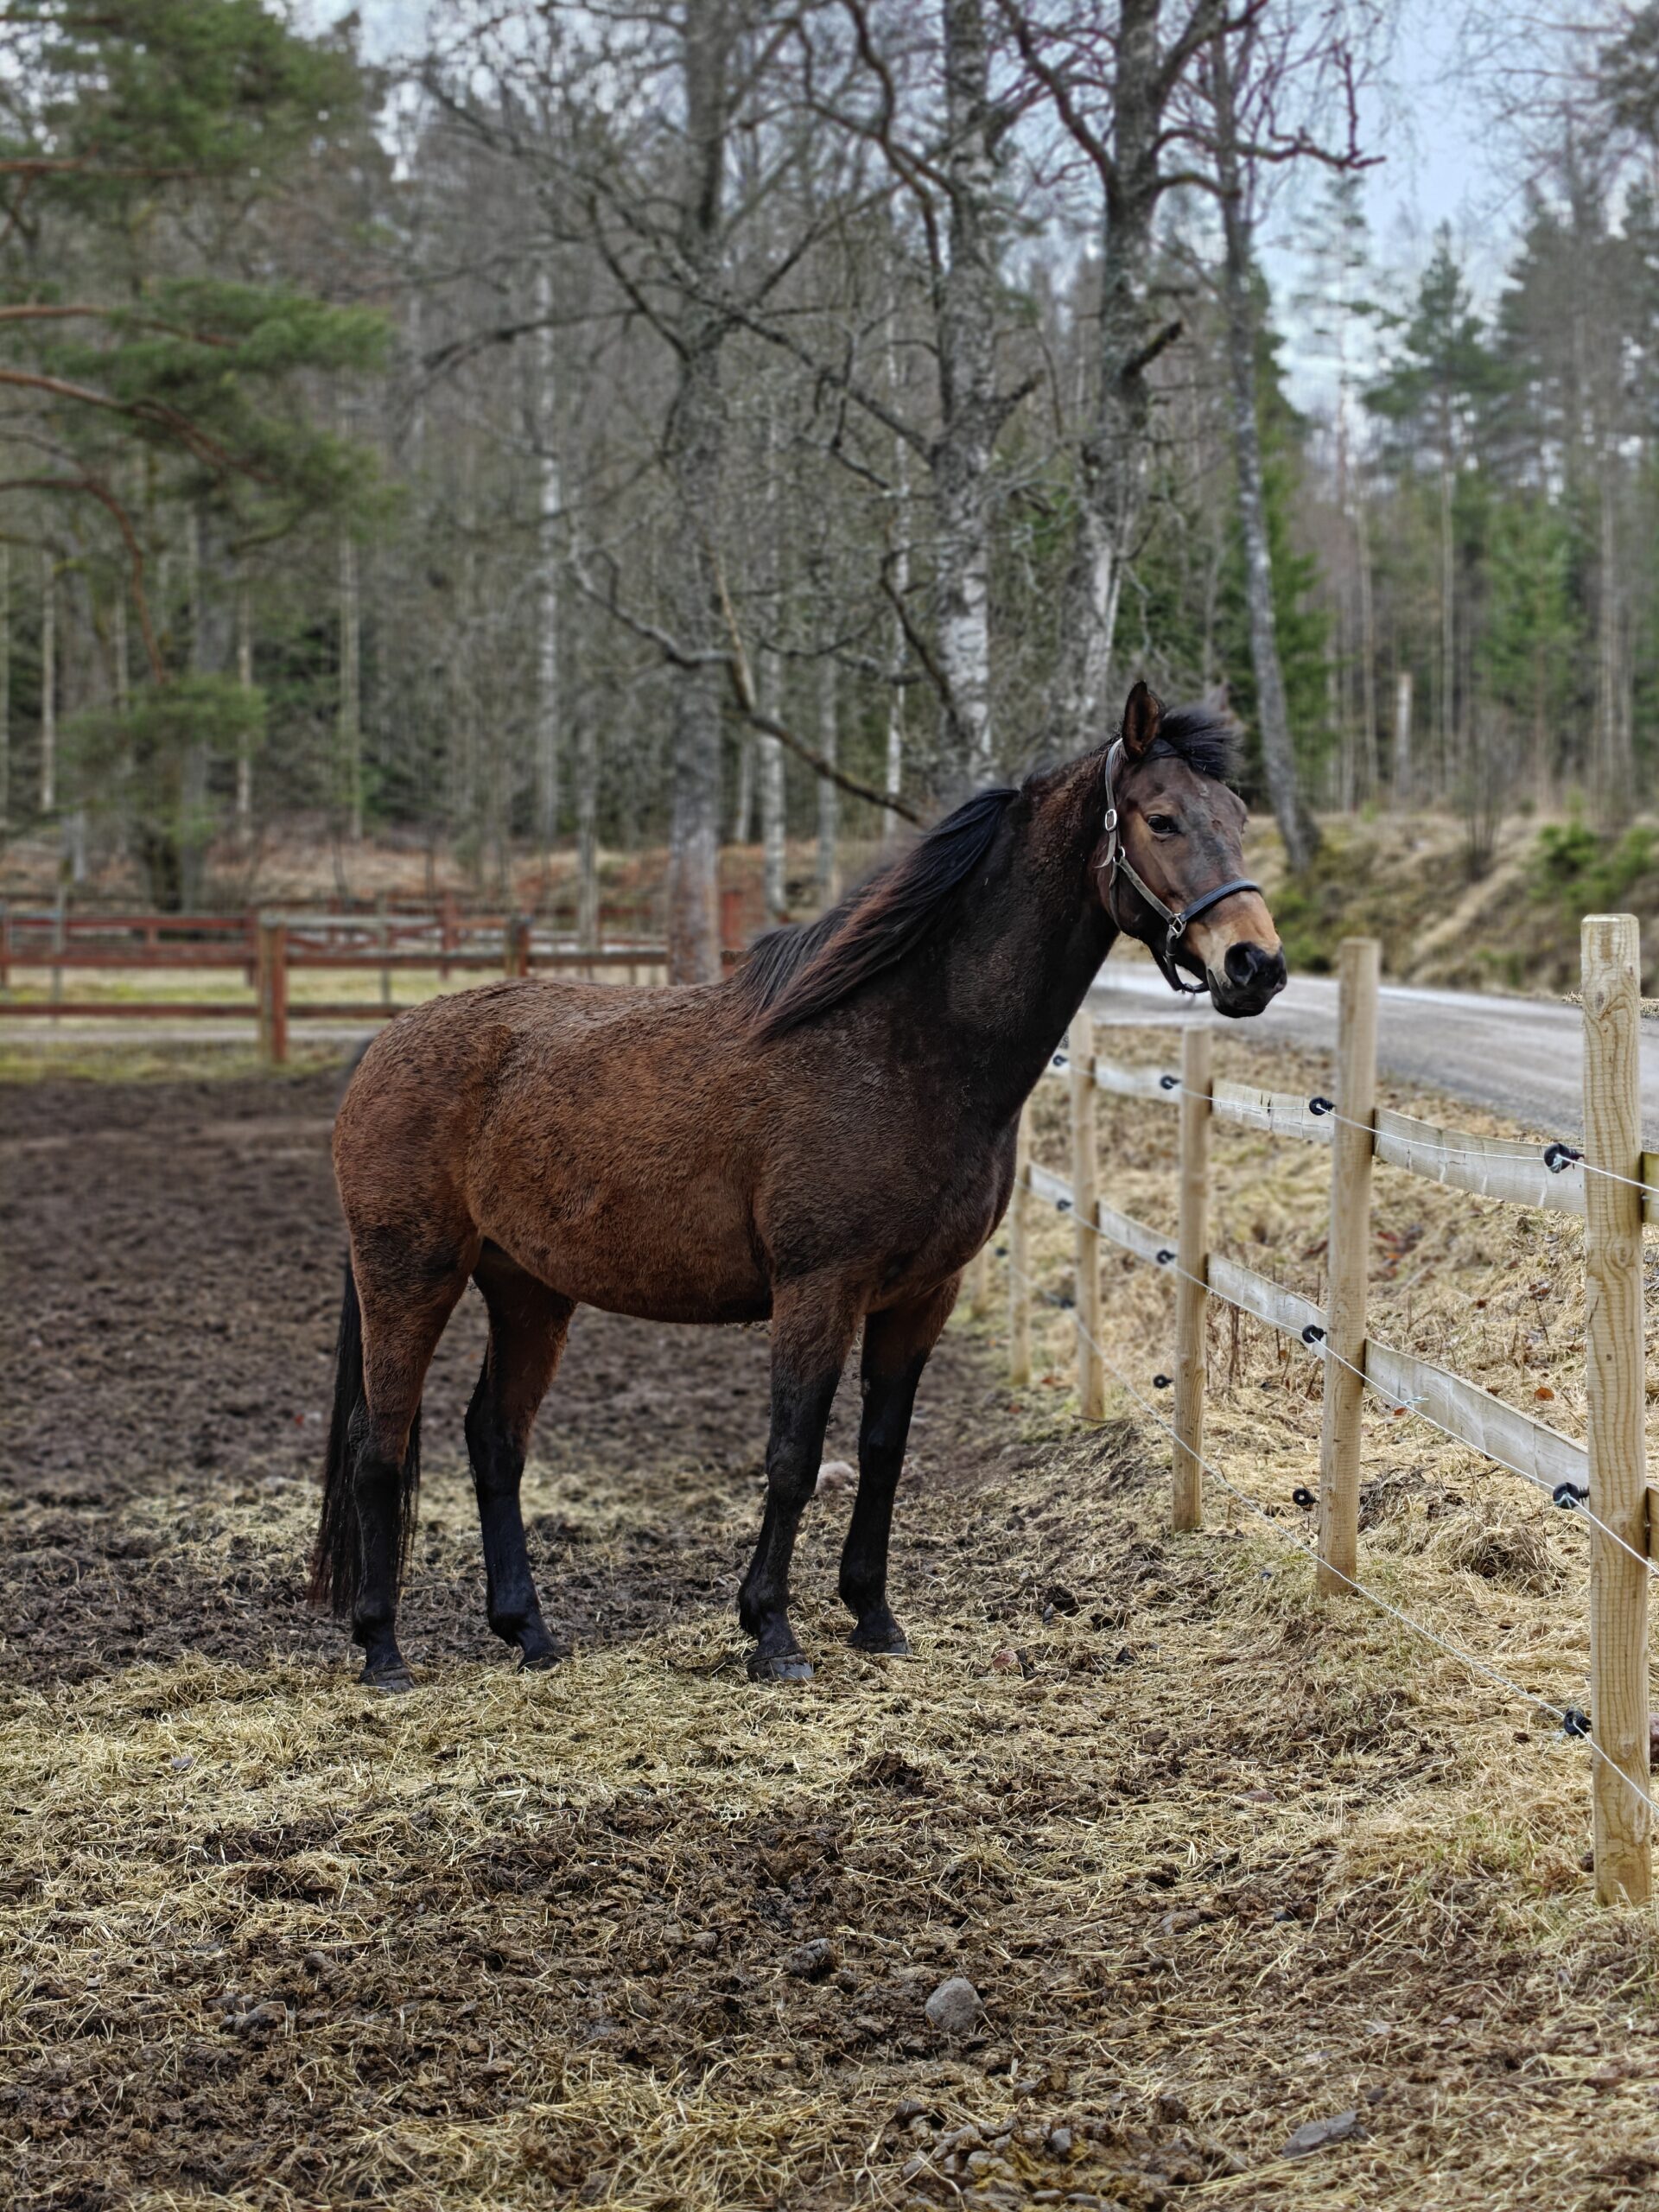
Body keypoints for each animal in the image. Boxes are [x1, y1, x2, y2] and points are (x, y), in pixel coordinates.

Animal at [310, 681, 1286, 1688]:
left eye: (1237, 815)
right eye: (1161, 818)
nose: (1255, 965)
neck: (905, 1049)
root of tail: (382, 1047)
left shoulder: (923, 1295)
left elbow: (883, 1451)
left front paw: (874, 1616)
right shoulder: (819, 1287)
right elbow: (794, 1454)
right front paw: (772, 1632)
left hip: (527, 1288)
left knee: (495, 1441)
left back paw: (530, 1633)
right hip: (411, 1275)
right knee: (381, 1442)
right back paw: (382, 1648)